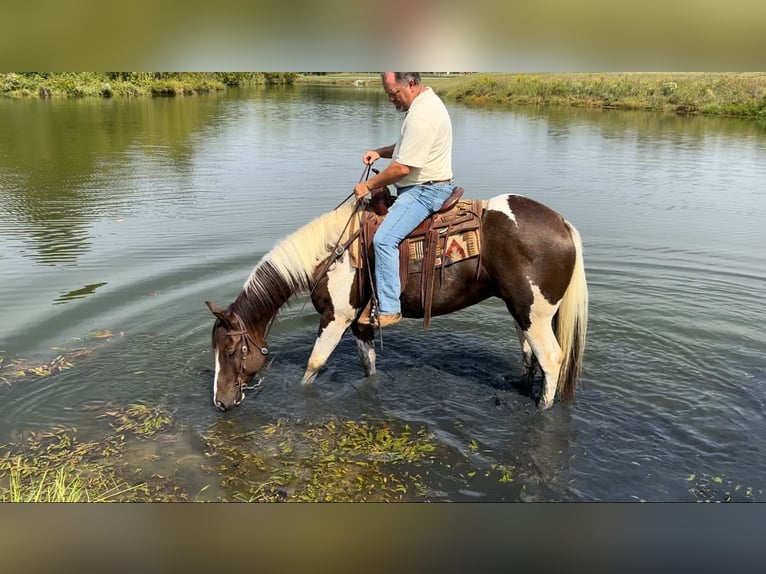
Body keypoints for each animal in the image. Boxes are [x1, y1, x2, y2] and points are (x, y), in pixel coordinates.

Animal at [207, 196, 592, 412]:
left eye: (231, 351)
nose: (220, 403)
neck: (329, 253)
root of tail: (563, 224)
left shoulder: (336, 318)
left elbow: (312, 366)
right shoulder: (360, 323)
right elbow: (369, 366)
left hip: (534, 316)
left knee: (551, 360)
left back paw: (542, 409)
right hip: (523, 313)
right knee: (530, 357)